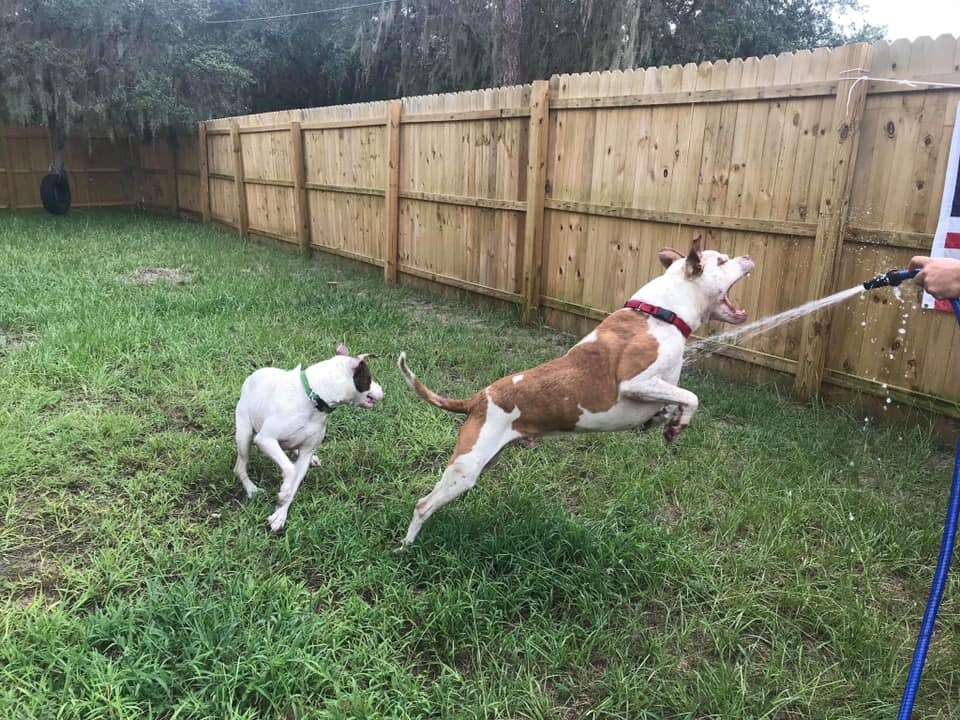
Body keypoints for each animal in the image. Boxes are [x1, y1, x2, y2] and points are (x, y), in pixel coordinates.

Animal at [232, 346, 382, 532]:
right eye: (368, 378)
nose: (383, 390)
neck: (313, 400)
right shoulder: (265, 439)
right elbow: (290, 470)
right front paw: (284, 491)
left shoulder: (306, 453)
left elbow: (296, 477)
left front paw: (280, 513)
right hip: (244, 435)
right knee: (240, 466)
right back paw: (251, 489)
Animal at [394, 239, 752, 548]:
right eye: (722, 260)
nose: (748, 257)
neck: (661, 313)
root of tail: (477, 399)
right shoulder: (634, 382)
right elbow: (692, 396)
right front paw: (679, 423)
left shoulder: (659, 388)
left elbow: (675, 400)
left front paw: (668, 422)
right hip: (466, 469)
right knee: (423, 505)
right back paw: (406, 546)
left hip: (482, 462)